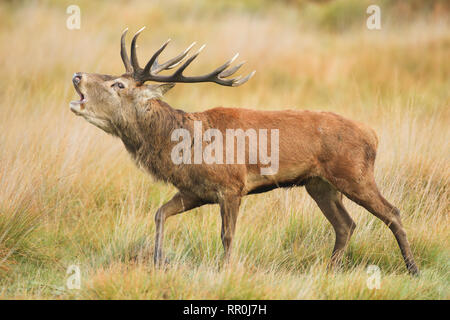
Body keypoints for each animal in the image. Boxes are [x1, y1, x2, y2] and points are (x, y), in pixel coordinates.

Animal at [69, 28, 418, 276]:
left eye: (118, 85)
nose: (77, 75)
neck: (182, 147)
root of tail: (373, 134)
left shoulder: (231, 186)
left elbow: (227, 235)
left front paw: (225, 271)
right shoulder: (195, 190)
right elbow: (160, 213)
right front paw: (158, 262)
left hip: (354, 173)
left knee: (392, 212)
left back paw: (412, 269)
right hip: (318, 184)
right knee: (345, 224)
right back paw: (330, 271)